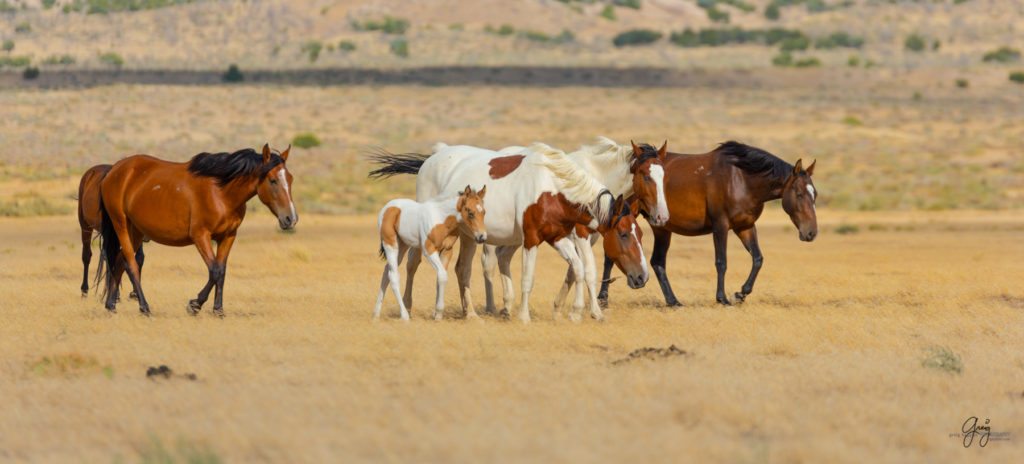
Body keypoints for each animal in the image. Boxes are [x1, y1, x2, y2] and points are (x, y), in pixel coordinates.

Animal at [97, 142, 296, 315]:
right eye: (272, 180)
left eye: (290, 179)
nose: (291, 218)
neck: (221, 192)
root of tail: (114, 170)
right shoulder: (201, 236)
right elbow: (214, 271)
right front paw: (195, 304)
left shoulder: (228, 236)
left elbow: (222, 272)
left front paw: (218, 310)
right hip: (121, 225)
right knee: (131, 264)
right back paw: (144, 307)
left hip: (136, 231)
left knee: (120, 260)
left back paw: (110, 305)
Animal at [376, 184, 487, 317]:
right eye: (470, 213)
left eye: (484, 212)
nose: (482, 237)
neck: (441, 218)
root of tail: (387, 207)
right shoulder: (429, 250)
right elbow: (443, 276)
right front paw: (438, 311)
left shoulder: (446, 250)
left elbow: (441, 277)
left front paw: (437, 315)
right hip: (390, 244)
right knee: (393, 276)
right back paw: (404, 315)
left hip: (402, 245)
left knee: (386, 271)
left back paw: (376, 314)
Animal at [598, 141, 815, 307]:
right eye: (799, 194)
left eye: (815, 194)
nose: (811, 233)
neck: (741, 179)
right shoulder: (721, 226)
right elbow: (721, 262)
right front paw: (723, 298)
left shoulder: (744, 227)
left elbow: (758, 259)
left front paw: (741, 294)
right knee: (612, 256)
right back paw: (603, 298)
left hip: (662, 227)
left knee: (657, 262)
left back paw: (673, 301)